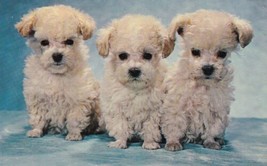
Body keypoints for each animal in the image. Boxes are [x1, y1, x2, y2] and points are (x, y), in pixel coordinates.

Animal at [15, 4, 101, 140]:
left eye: (69, 41)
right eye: (44, 42)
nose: (57, 56)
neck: (57, 74)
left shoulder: (78, 100)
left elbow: (74, 119)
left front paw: (74, 134)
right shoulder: (37, 97)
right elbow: (38, 117)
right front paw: (36, 131)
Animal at [97, 14, 173, 149]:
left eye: (148, 55)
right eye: (122, 55)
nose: (134, 71)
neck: (135, 88)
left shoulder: (154, 110)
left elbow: (150, 128)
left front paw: (150, 143)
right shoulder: (116, 108)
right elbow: (120, 126)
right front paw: (120, 142)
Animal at [161, 9, 253, 151]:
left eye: (222, 53)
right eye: (195, 51)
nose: (208, 68)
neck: (202, 84)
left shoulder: (215, 109)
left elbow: (211, 128)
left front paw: (210, 142)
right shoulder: (176, 107)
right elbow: (174, 125)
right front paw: (173, 142)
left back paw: (219, 140)